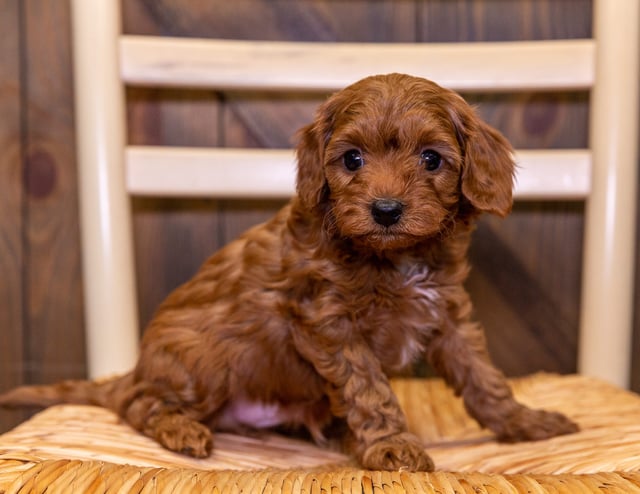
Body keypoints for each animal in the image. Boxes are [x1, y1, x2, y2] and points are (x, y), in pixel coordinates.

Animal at [0, 73, 576, 470]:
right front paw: (391, 446)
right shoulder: (326, 321)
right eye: (352, 160)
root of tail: (135, 369)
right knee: (138, 403)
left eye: (432, 159)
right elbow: (370, 388)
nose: (386, 210)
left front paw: (525, 422)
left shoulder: (449, 317)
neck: (392, 257)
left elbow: (484, 379)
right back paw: (182, 430)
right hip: (198, 360)